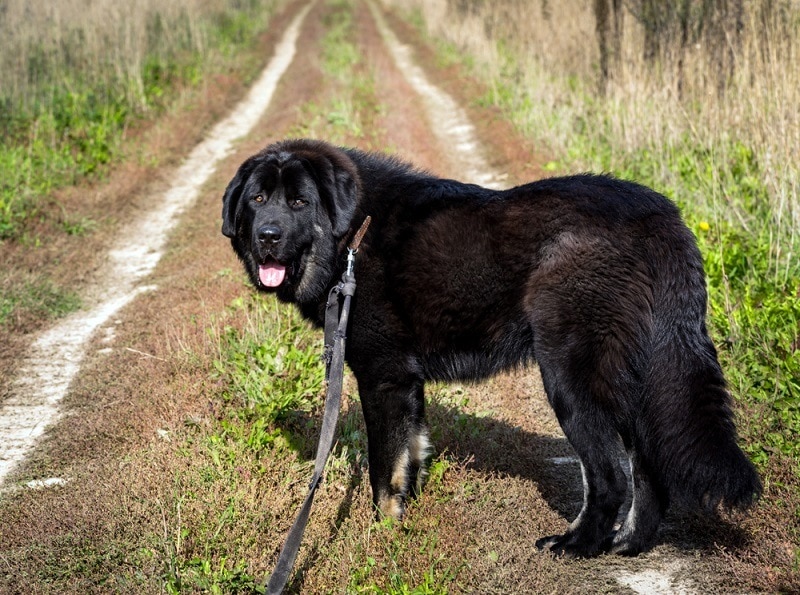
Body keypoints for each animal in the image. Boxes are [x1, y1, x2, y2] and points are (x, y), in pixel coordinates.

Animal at [220, 140, 764, 560]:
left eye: (299, 202)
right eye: (259, 198)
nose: (268, 236)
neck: (354, 232)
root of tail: (661, 219)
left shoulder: (383, 378)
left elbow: (382, 469)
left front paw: (383, 534)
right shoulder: (408, 382)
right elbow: (411, 453)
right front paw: (408, 515)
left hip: (571, 378)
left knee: (610, 477)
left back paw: (577, 546)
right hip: (627, 378)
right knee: (647, 469)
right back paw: (629, 545)